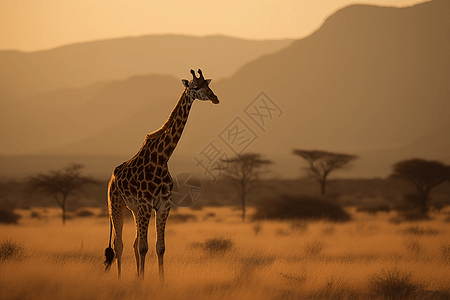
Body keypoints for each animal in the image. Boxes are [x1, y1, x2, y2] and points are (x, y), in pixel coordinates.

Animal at [104, 68, 220, 282]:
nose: (214, 97)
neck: (162, 158)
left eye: (207, 85)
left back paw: (134, 276)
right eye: (195, 87)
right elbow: (144, 247)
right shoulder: (146, 204)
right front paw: (142, 282)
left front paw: (159, 281)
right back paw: (120, 279)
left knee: (132, 243)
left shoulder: (163, 205)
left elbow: (159, 247)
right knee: (118, 244)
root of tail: (112, 179)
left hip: (134, 209)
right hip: (116, 204)